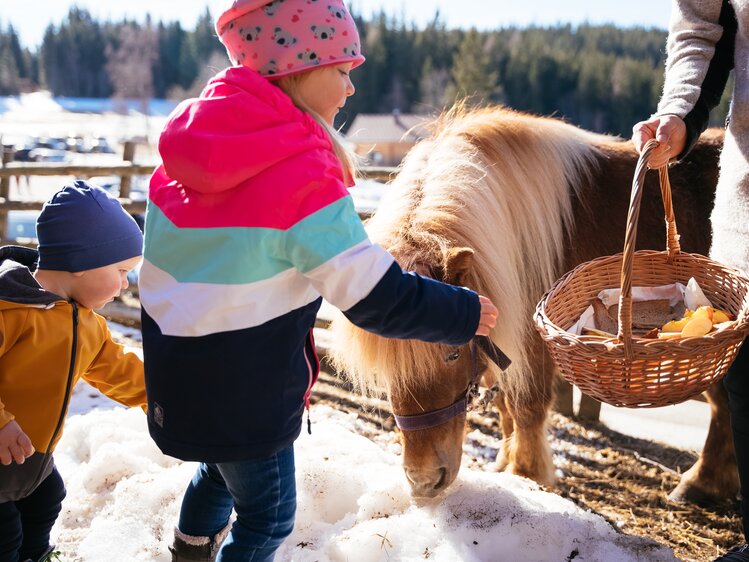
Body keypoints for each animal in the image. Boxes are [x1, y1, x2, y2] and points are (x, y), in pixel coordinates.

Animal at [330, 103, 732, 500]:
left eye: (453, 354)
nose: (425, 483)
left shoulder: (533, 338)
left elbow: (526, 405)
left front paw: (527, 474)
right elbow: (505, 405)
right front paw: (505, 465)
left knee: (722, 404)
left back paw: (699, 484)